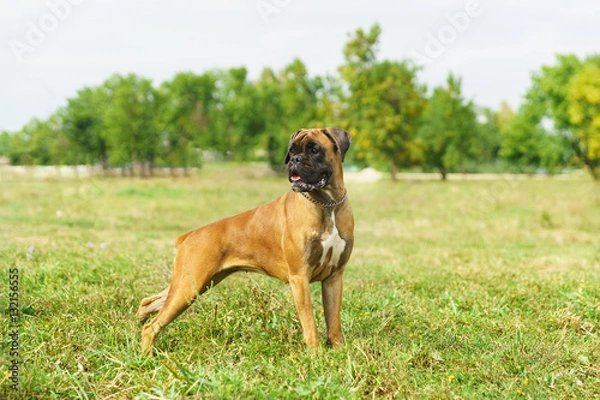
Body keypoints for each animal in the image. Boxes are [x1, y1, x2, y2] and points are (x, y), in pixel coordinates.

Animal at [137, 127, 354, 354]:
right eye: (292, 150)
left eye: (314, 149)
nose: (295, 160)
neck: (328, 204)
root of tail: (189, 235)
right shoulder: (300, 277)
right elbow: (310, 323)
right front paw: (315, 354)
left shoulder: (334, 277)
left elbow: (333, 320)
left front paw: (338, 350)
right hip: (189, 286)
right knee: (151, 326)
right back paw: (146, 355)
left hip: (192, 285)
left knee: (149, 304)